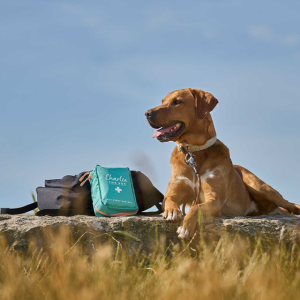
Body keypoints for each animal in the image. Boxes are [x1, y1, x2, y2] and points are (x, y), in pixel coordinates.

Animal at [145, 87, 300, 239]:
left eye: (177, 102)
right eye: (163, 101)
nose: (147, 113)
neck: (194, 152)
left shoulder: (214, 200)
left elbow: (196, 207)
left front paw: (185, 227)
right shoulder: (172, 192)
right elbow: (170, 200)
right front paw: (173, 212)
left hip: (261, 187)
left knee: (290, 204)